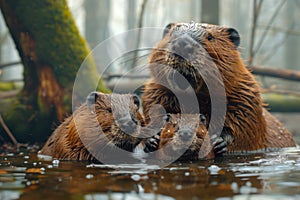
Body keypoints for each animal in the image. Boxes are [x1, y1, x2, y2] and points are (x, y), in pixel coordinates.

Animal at [142, 22, 296, 153]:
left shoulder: (246, 100)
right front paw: (153, 139)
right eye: (171, 34)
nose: (182, 43)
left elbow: (243, 130)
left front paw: (219, 142)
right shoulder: (155, 93)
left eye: (210, 37)